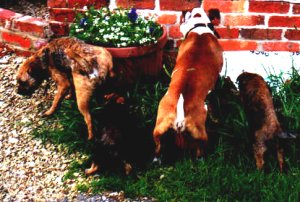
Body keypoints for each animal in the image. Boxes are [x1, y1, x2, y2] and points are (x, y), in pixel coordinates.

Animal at [152, 7, 223, 158]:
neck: (199, 27)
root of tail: (179, 117)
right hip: (200, 133)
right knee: (199, 151)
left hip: (159, 126)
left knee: (158, 147)